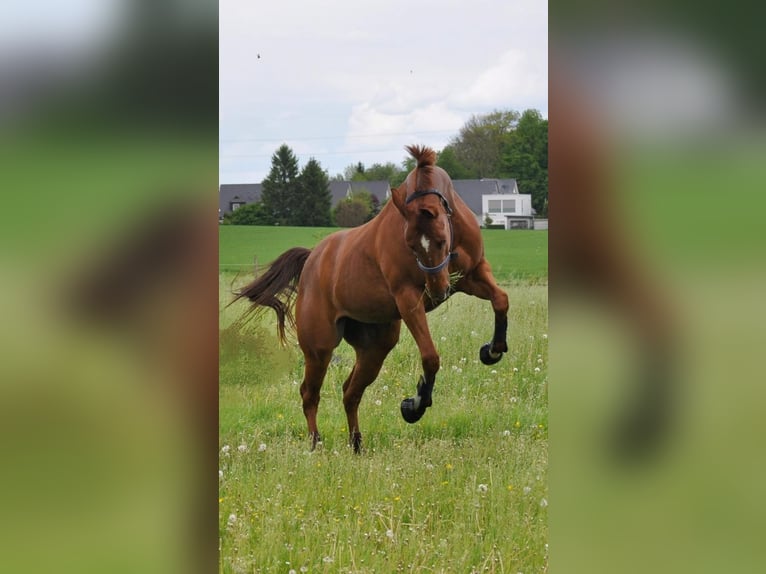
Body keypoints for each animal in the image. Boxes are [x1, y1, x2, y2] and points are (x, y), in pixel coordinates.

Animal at [233, 145, 509, 453]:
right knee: (309, 393)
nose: (438, 290)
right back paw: (316, 445)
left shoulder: (472, 275)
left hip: (375, 347)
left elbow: (501, 300)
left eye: (440, 240)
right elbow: (430, 357)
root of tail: (312, 257)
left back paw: (356, 445)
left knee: (349, 392)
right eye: (411, 245)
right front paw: (414, 405)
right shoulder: (408, 299)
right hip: (320, 348)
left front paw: (492, 350)